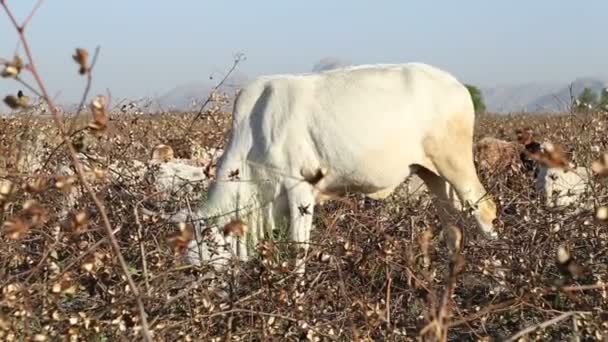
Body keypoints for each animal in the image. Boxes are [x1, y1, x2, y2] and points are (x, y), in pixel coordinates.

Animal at [177, 62, 498, 272]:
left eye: (197, 265)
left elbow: (299, 248)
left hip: (454, 162)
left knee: (484, 210)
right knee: (452, 228)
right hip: (432, 174)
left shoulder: (300, 188)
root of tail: (458, 86)